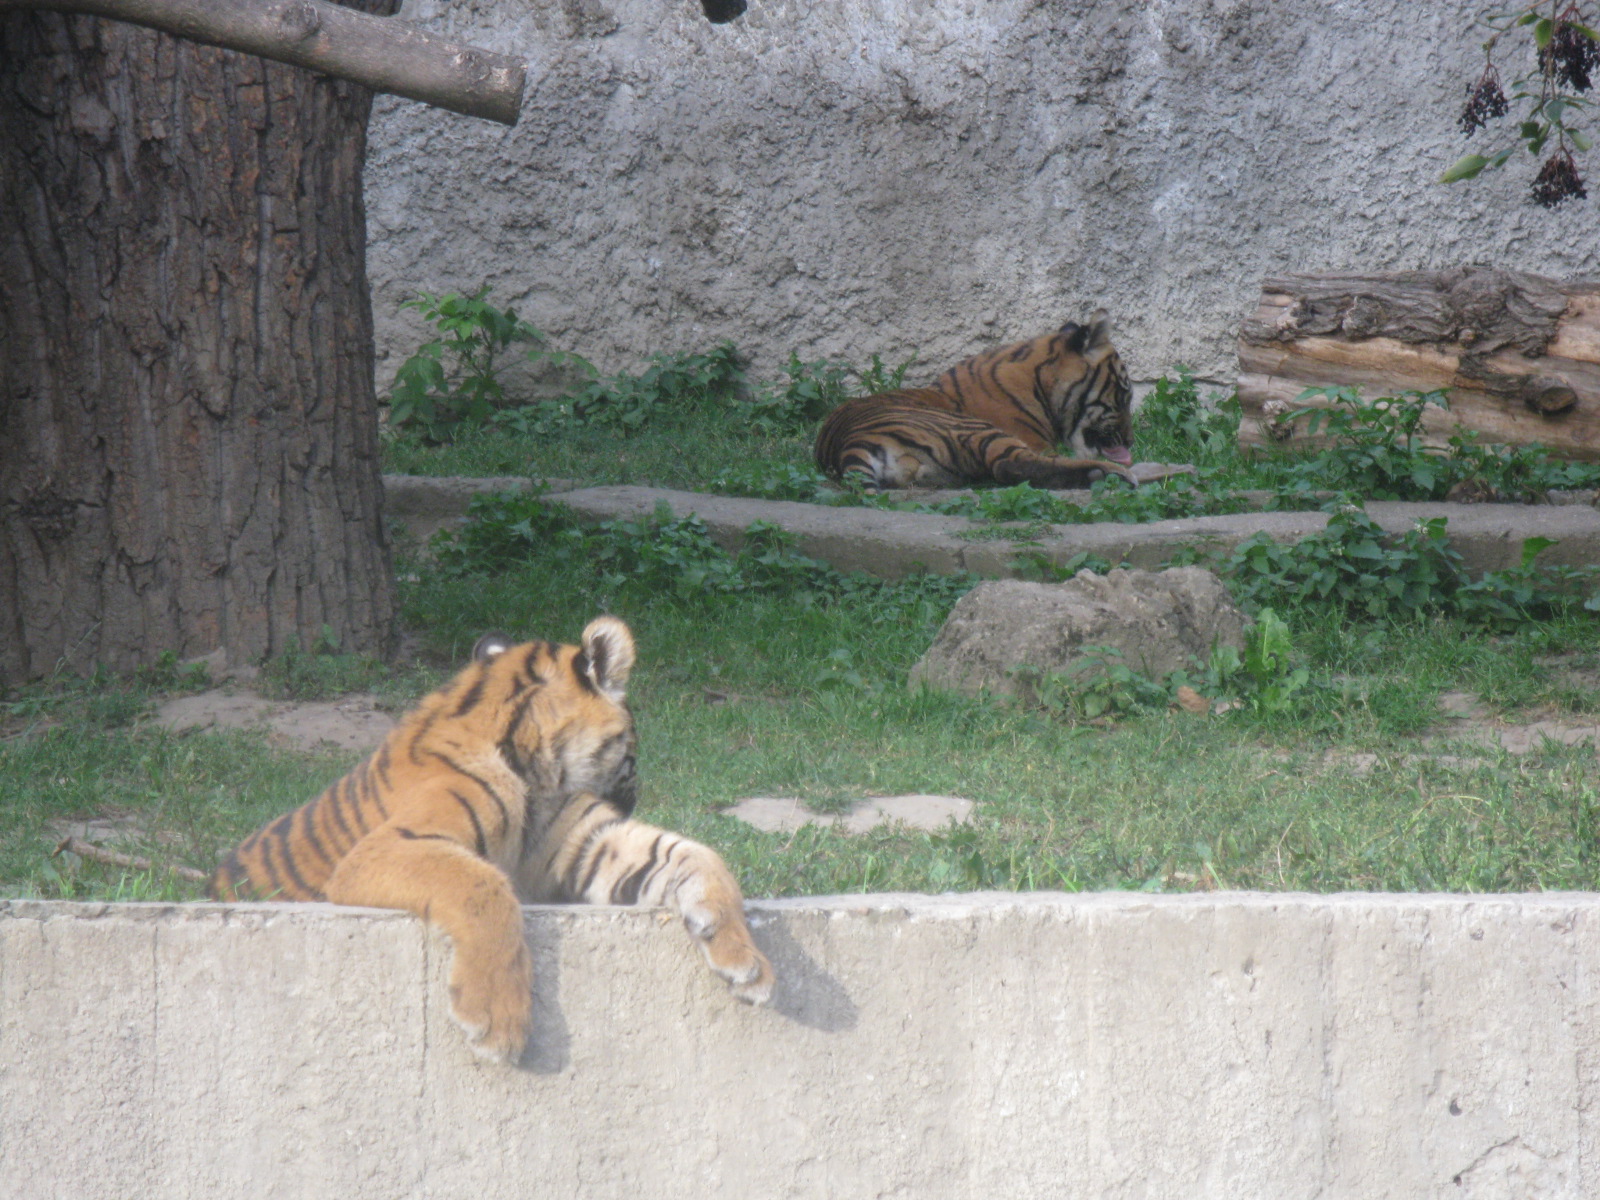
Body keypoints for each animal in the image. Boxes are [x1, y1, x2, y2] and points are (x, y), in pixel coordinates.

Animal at [208, 616, 773, 1064]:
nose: (633, 801)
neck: (541, 770)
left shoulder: (589, 842)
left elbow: (694, 854)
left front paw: (746, 961)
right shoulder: (384, 849)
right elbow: (482, 887)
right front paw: (496, 1021)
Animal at [813, 311, 1137, 490]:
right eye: (1124, 395)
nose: (1131, 441)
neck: (1040, 382)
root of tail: (848, 442)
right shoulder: (1036, 443)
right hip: (976, 430)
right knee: (1010, 465)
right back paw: (1107, 474)